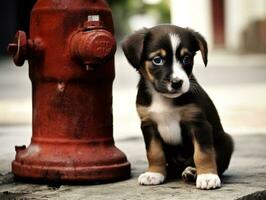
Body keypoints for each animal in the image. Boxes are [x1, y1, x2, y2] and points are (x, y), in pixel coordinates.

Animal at [121, 24, 234, 190]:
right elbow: (154, 152)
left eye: (187, 58)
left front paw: (207, 176)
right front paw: (154, 173)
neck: (164, 98)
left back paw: (193, 172)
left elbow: (203, 153)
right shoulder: (148, 125)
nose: (177, 82)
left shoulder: (198, 123)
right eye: (157, 60)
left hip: (226, 140)